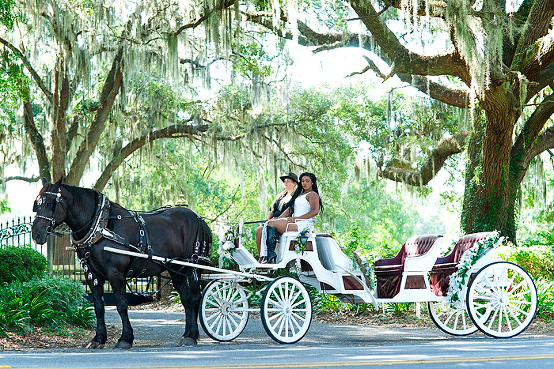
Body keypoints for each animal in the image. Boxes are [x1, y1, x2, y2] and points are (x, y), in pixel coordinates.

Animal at [31, 178, 211, 348]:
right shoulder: (91, 275)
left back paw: (191, 336)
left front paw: (125, 338)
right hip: (176, 269)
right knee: (186, 298)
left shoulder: (116, 274)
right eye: (36, 204)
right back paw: (188, 334)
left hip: (194, 267)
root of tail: (199, 218)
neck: (99, 226)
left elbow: (122, 305)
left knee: (195, 298)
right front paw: (98, 339)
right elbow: (98, 307)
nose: (36, 235)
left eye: (50, 203)